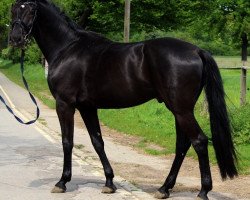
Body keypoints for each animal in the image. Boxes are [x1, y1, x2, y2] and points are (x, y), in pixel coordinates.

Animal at [8, 0, 237, 199]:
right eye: (13, 9)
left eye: (31, 10)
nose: (15, 39)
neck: (67, 48)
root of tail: (197, 50)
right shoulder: (87, 107)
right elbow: (97, 141)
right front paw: (109, 182)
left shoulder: (65, 104)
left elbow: (67, 141)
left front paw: (62, 182)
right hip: (179, 110)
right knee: (182, 144)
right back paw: (164, 188)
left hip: (181, 110)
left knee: (199, 141)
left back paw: (203, 191)